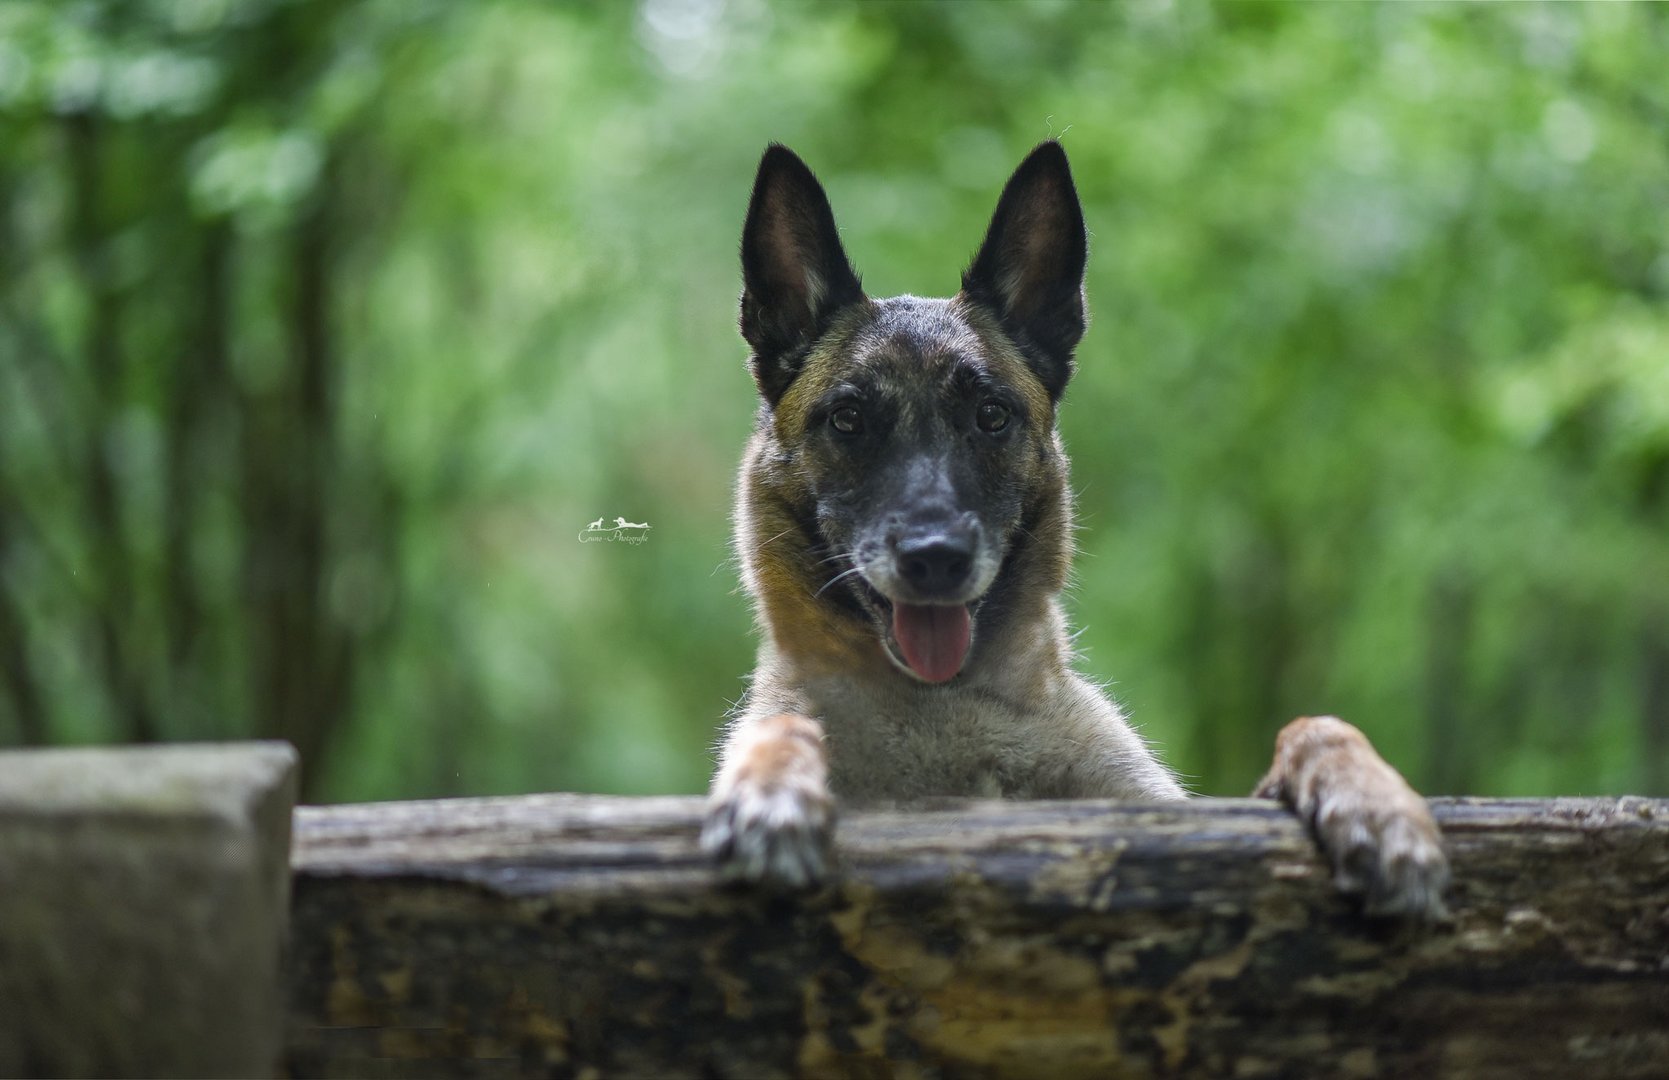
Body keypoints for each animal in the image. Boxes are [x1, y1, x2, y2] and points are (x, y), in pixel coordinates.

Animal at [700, 137, 1448, 921]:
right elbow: (782, 725)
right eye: (848, 419)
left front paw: (1378, 808)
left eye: (991, 415)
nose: (935, 558)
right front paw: (772, 787)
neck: (943, 710)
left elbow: (1313, 726)